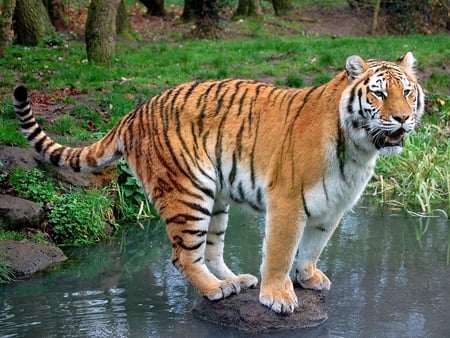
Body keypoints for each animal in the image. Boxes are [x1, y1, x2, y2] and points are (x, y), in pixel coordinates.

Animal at [12, 52, 424, 314]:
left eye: (407, 91)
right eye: (378, 93)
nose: (402, 118)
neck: (359, 148)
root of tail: (134, 112)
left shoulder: (333, 207)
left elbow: (312, 248)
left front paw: (308, 278)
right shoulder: (288, 201)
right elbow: (281, 251)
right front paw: (278, 296)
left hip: (216, 198)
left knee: (209, 251)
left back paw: (236, 280)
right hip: (187, 192)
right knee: (183, 255)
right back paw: (216, 289)